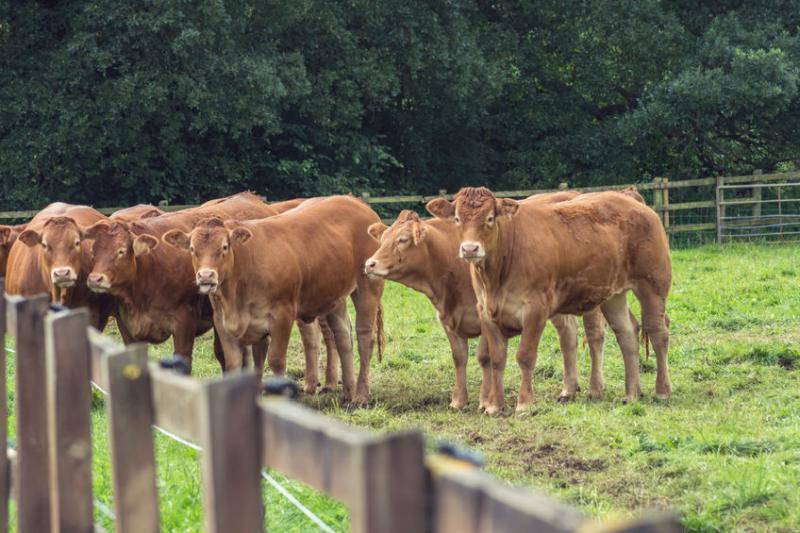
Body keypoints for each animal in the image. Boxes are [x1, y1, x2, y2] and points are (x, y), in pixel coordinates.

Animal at [161, 195, 382, 404]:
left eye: (224, 247)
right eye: (191, 248)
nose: (206, 276)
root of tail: (355, 201)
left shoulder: (282, 315)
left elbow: (275, 360)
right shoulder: (224, 322)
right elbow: (236, 363)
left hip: (368, 288)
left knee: (365, 337)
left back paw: (361, 395)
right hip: (334, 296)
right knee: (343, 336)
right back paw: (348, 392)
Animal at [428, 187, 672, 412]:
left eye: (489, 218)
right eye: (457, 219)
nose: (470, 249)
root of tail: (630, 198)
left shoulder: (535, 309)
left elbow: (525, 356)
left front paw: (524, 404)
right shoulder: (485, 310)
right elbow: (497, 358)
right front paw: (494, 406)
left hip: (653, 285)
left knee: (658, 332)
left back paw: (662, 391)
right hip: (612, 295)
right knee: (626, 334)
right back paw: (631, 394)